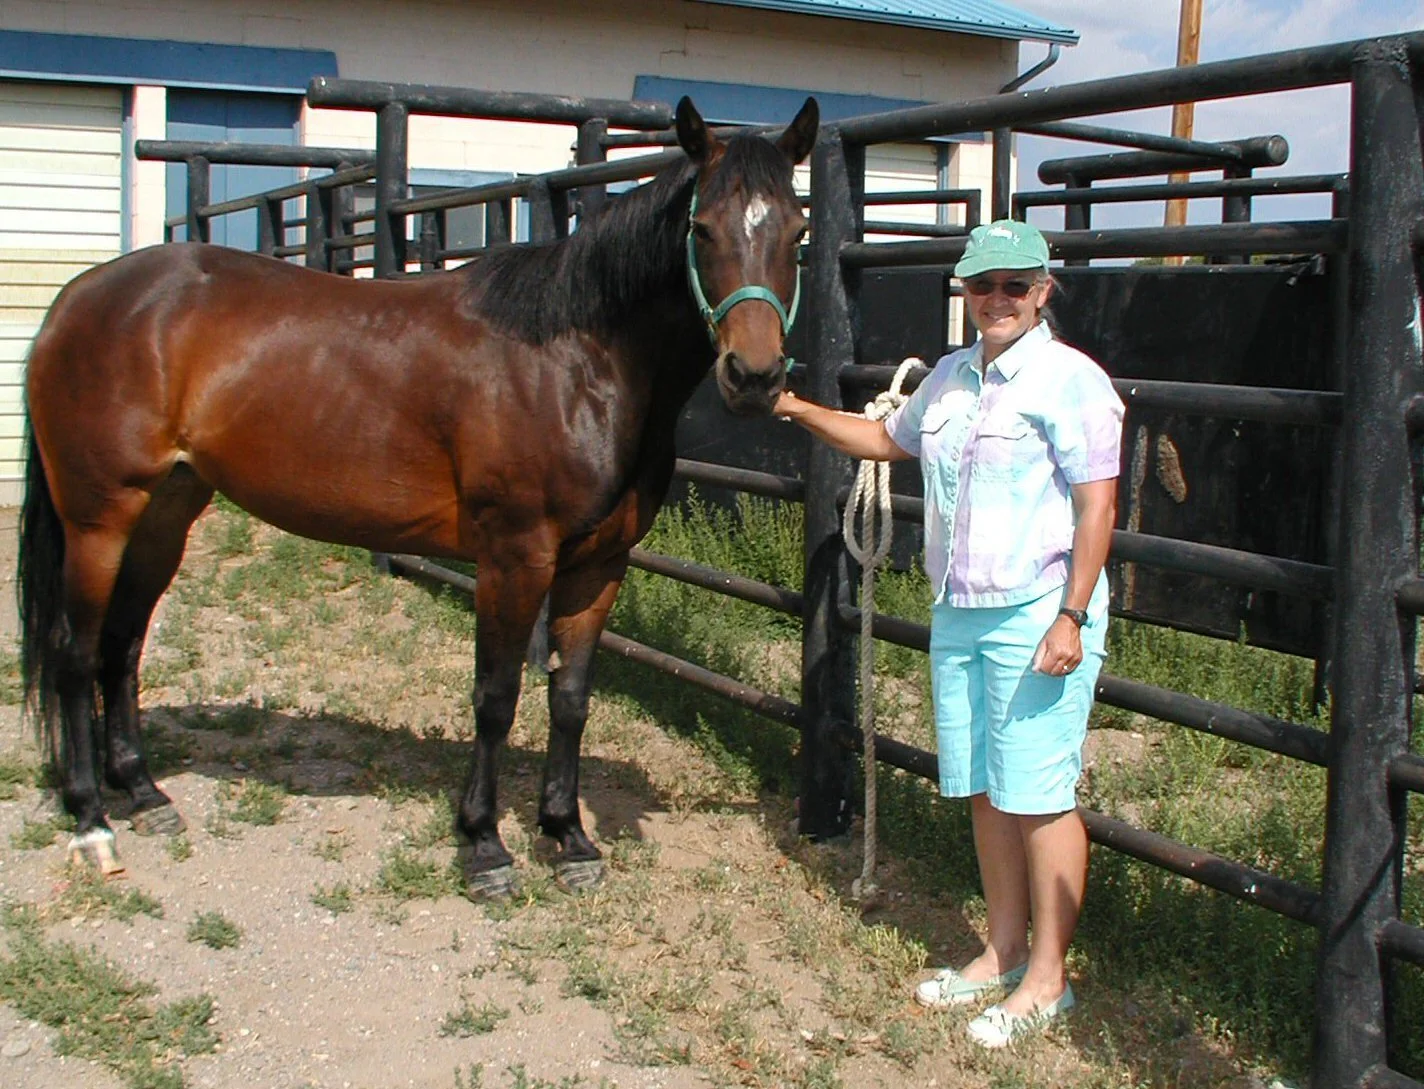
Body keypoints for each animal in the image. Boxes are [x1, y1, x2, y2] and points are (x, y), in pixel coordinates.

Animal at [19, 95, 818, 898]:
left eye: (797, 231)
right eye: (702, 228)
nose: (753, 377)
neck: (575, 361)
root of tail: (79, 298)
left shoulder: (599, 565)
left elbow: (569, 699)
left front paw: (568, 836)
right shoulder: (513, 558)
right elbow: (496, 698)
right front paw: (485, 845)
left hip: (165, 513)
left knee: (122, 645)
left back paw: (143, 792)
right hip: (99, 519)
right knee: (75, 652)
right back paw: (92, 820)